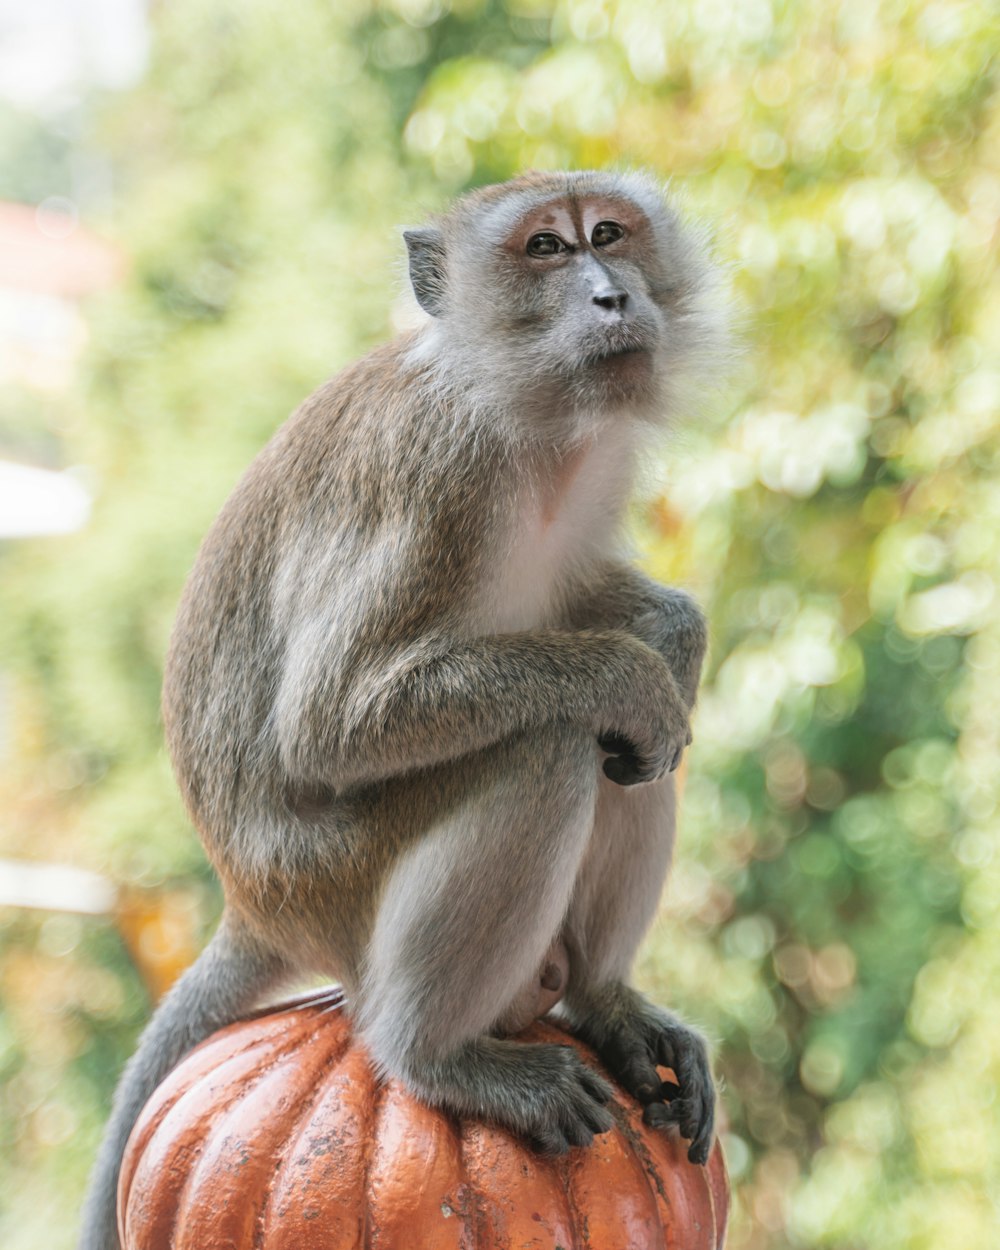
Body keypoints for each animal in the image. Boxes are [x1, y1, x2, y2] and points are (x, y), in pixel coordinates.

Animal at [76, 168, 725, 1250]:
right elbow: (334, 717)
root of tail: (250, 901)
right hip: (333, 878)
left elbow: (586, 606)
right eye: (545, 249)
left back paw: (603, 1003)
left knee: (623, 759)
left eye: (608, 234)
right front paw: (633, 670)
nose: (612, 295)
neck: (529, 419)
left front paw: (674, 633)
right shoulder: (442, 479)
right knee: (546, 747)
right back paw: (434, 1055)